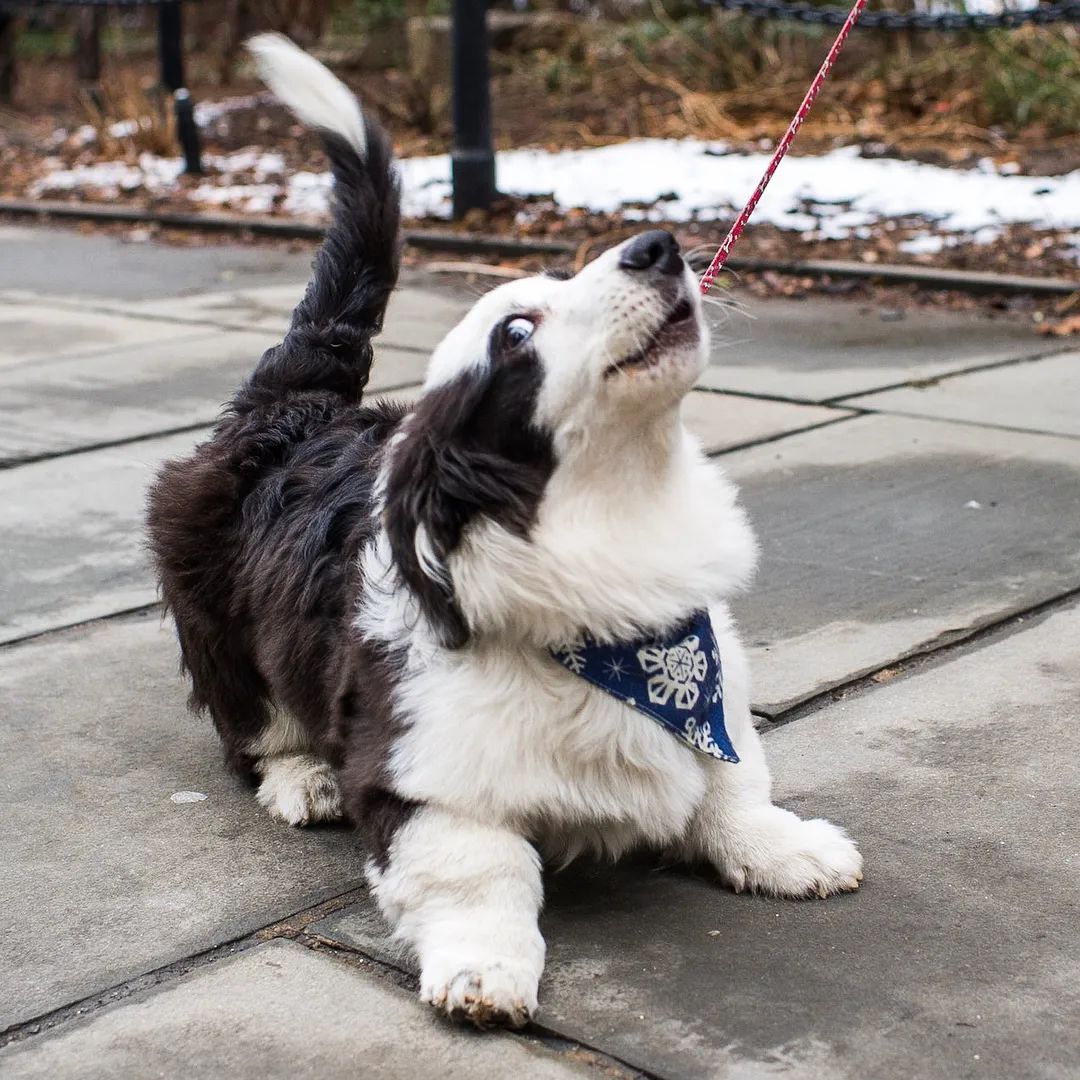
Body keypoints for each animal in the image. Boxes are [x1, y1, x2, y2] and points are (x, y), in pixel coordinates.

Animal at [147, 33, 864, 1028]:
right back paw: (302, 778)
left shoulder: (709, 685)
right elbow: (480, 871)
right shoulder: (421, 777)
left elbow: (732, 783)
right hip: (220, 631)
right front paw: (484, 972)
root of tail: (291, 404)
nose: (656, 246)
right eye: (517, 331)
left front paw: (788, 848)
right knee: (250, 731)